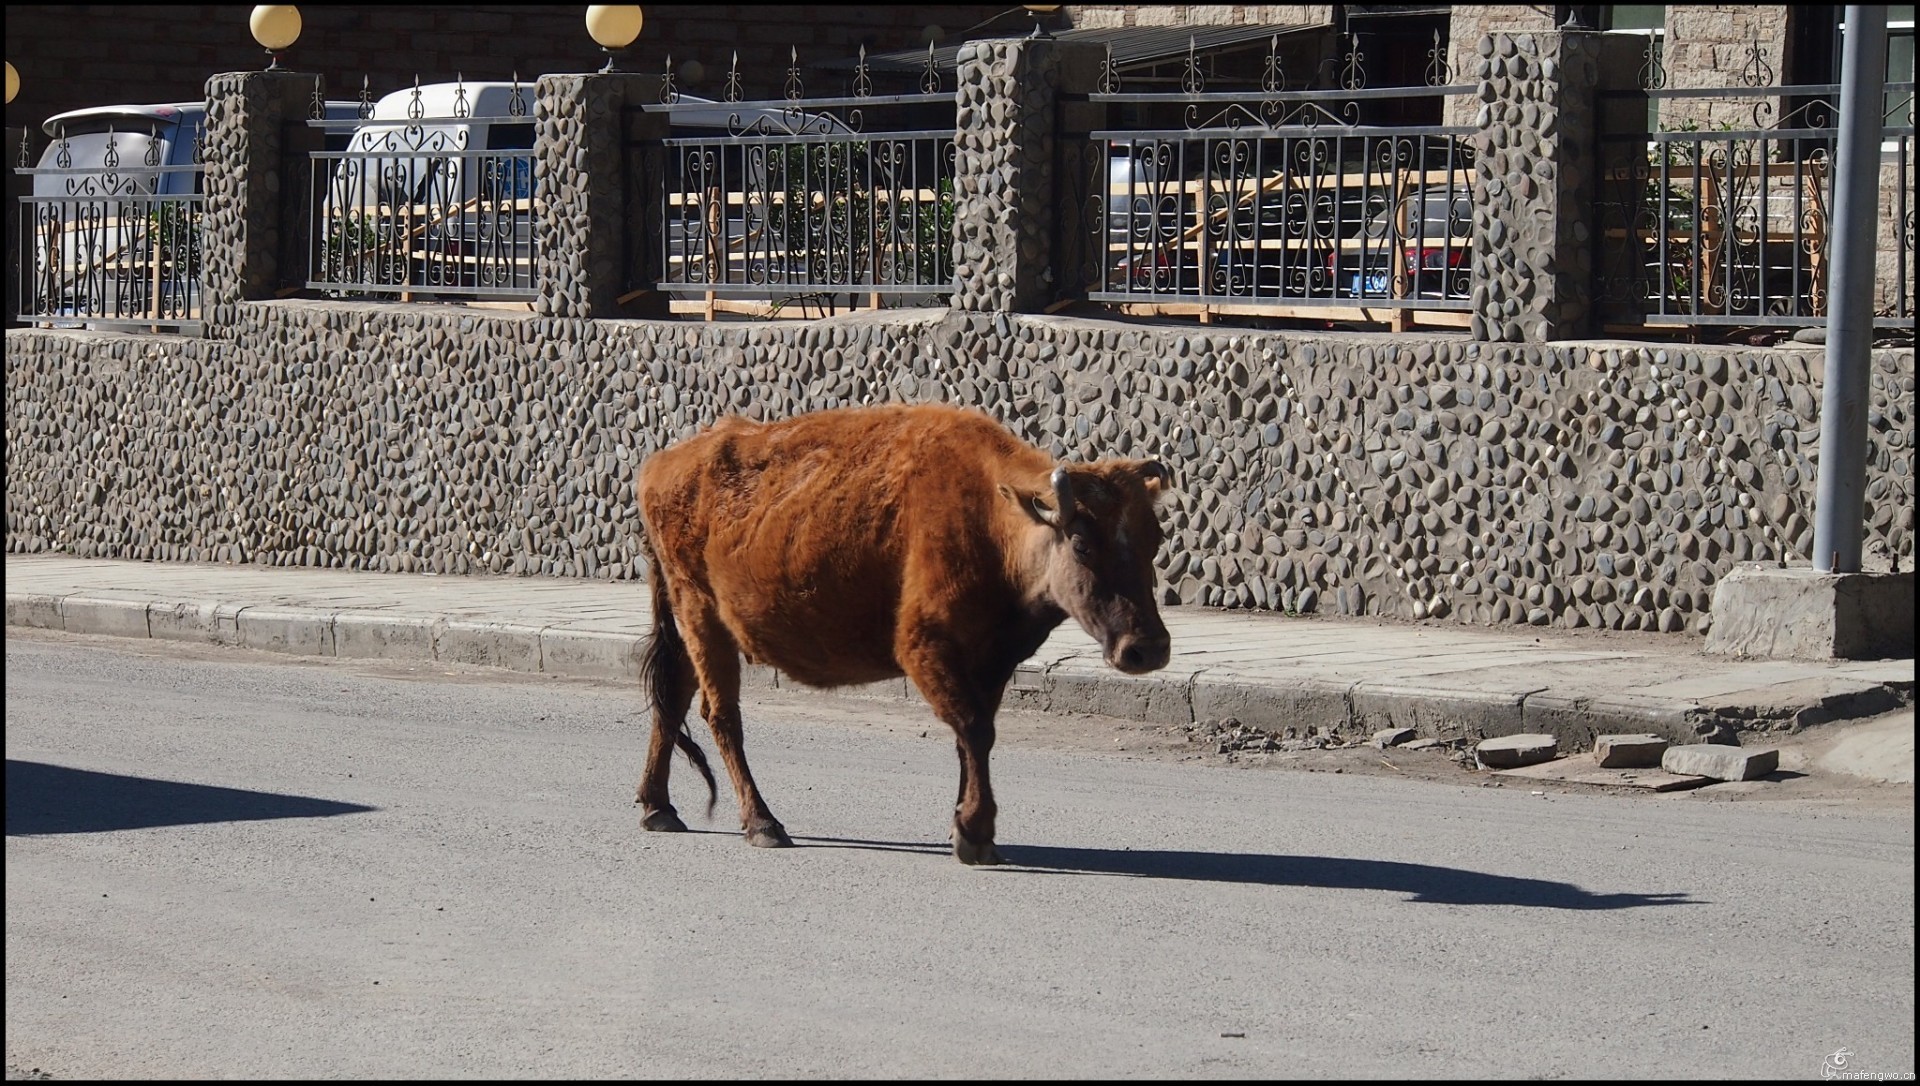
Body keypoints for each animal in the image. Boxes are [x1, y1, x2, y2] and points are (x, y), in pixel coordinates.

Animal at [633, 402, 1167, 867]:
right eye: (1081, 543)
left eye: (1156, 539)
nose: (1148, 649)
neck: (992, 517)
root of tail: (659, 464)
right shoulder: (925, 647)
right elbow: (975, 728)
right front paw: (975, 835)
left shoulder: (991, 662)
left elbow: (973, 737)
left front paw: (966, 828)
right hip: (701, 616)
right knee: (720, 714)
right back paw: (763, 824)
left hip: (692, 626)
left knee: (674, 696)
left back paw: (659, 809)